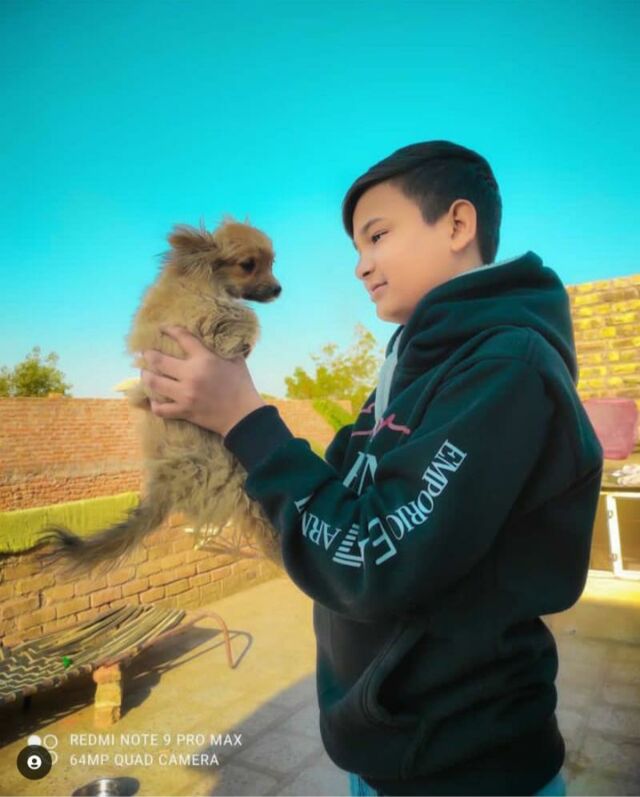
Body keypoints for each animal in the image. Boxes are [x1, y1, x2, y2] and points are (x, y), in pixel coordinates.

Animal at [35, 214, 284, 576]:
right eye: (248, 265)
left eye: (272, 264)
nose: (279, 289)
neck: (198, 278)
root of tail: (164, 484)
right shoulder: (206, 319)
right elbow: (245, 316)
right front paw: (245, 339)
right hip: (242, 482)